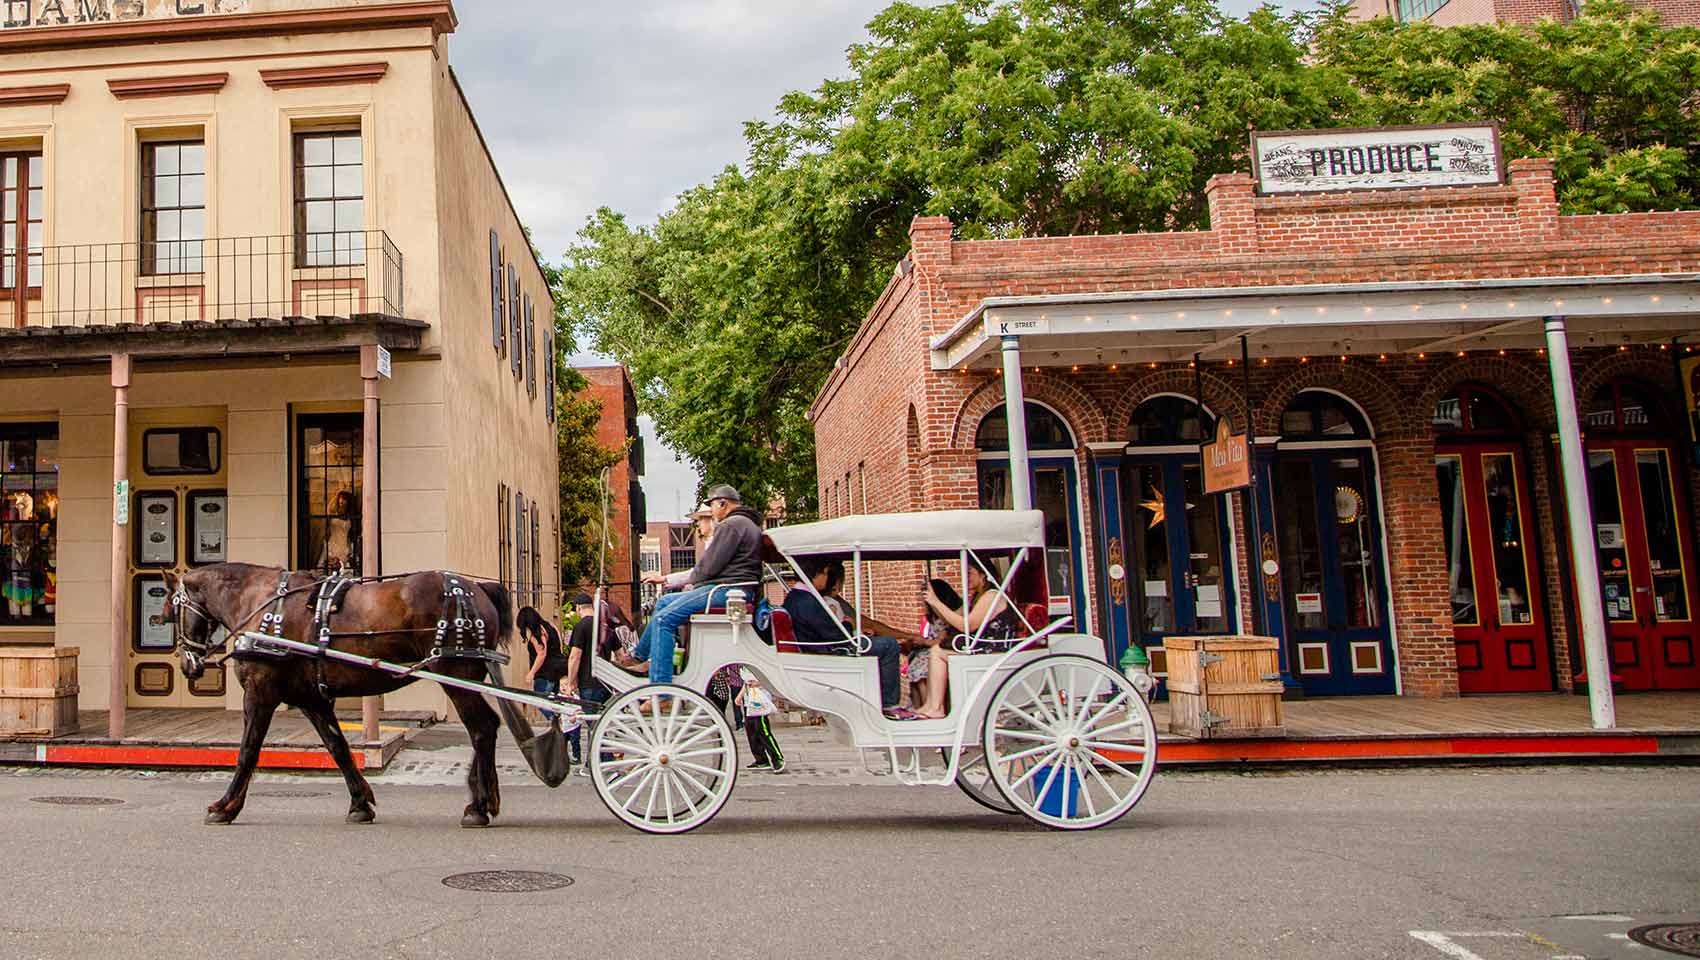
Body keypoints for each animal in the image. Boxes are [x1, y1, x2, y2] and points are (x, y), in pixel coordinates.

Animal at [164, 560, 510, 822]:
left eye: (171, 611)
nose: (187, 665)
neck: (259, 604)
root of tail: (477, 589)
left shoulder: (260, 692)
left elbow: (247, 750)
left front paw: (226, 806)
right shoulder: (311, 699)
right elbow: (338, 747)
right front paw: (360, 803)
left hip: (455, 676)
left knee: (481, 729)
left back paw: (478, 807)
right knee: (488, 726)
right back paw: (484, 797)